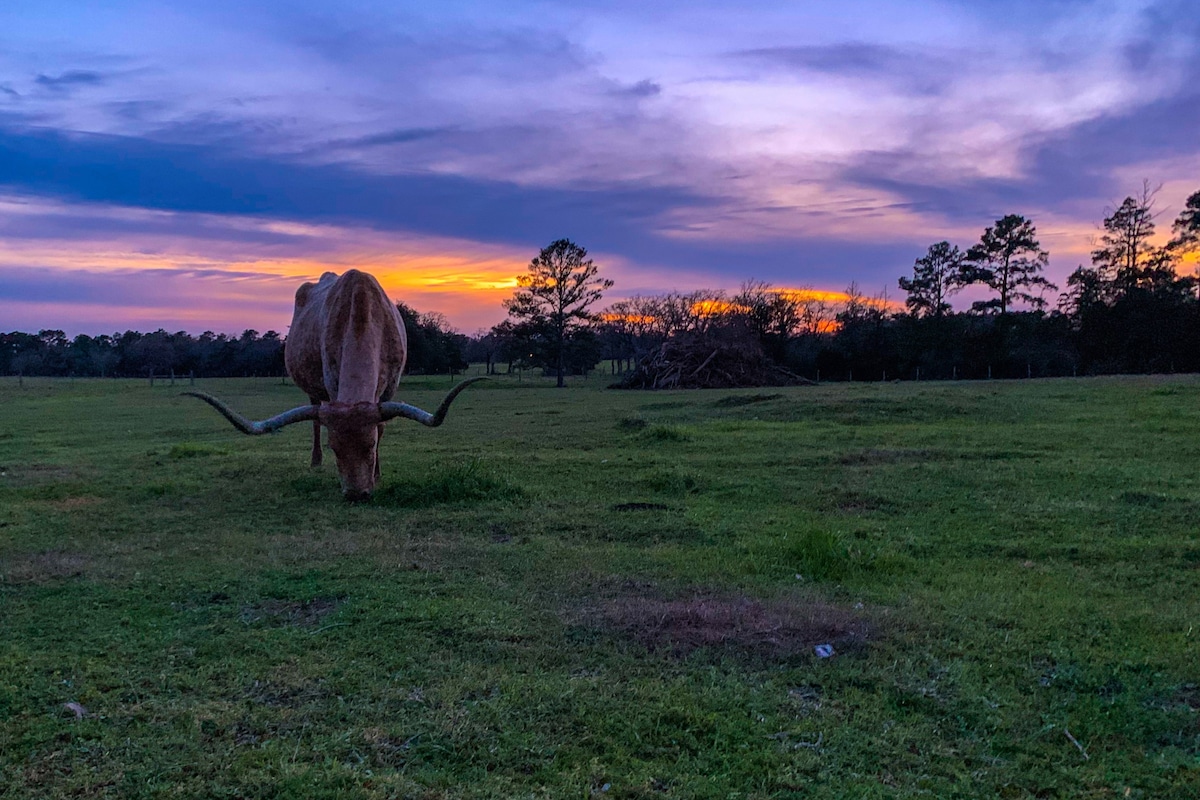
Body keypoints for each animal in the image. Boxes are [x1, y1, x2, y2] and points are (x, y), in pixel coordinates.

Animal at [183, 268, 482, 496]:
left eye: (370, 446)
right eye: (335, 448)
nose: (355, 494)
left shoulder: (389, 389)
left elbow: (381, 427)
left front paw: (377, 473)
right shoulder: (331, 382)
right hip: (314, 391)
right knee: (315, 419)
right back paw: (315, 461)